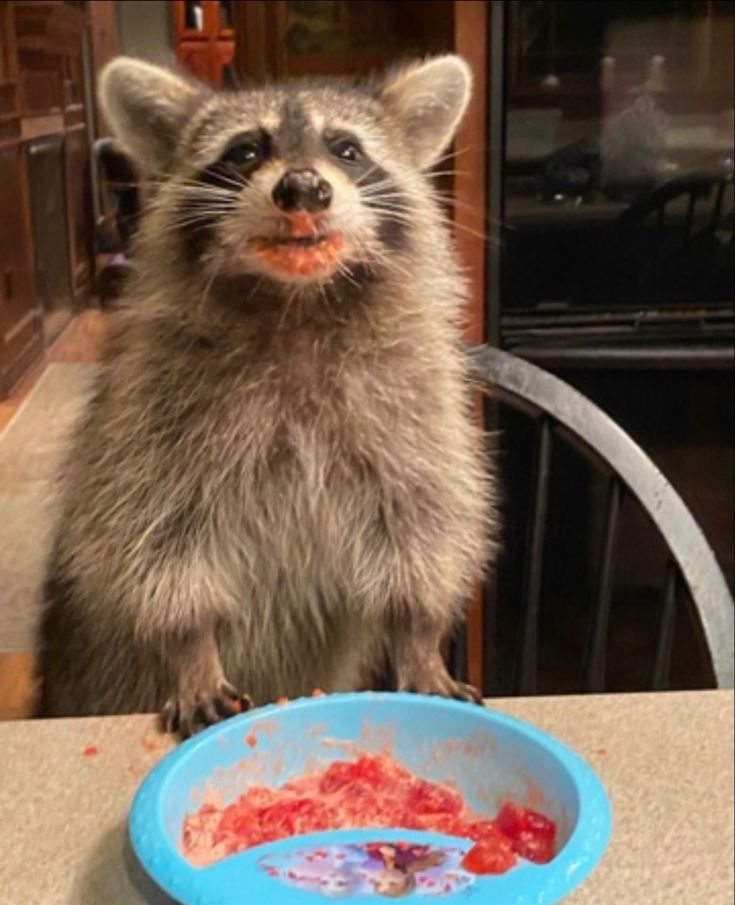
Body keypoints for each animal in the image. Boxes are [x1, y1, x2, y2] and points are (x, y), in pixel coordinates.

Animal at [36, 54, 494, 736]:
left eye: (347, 149)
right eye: (246, 150)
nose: (303, 187)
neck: (297, 303)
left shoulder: (418, 407)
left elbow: (423, 523)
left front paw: (420, 640)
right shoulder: (147, 416)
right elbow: (152, 543)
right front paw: (191, 649)